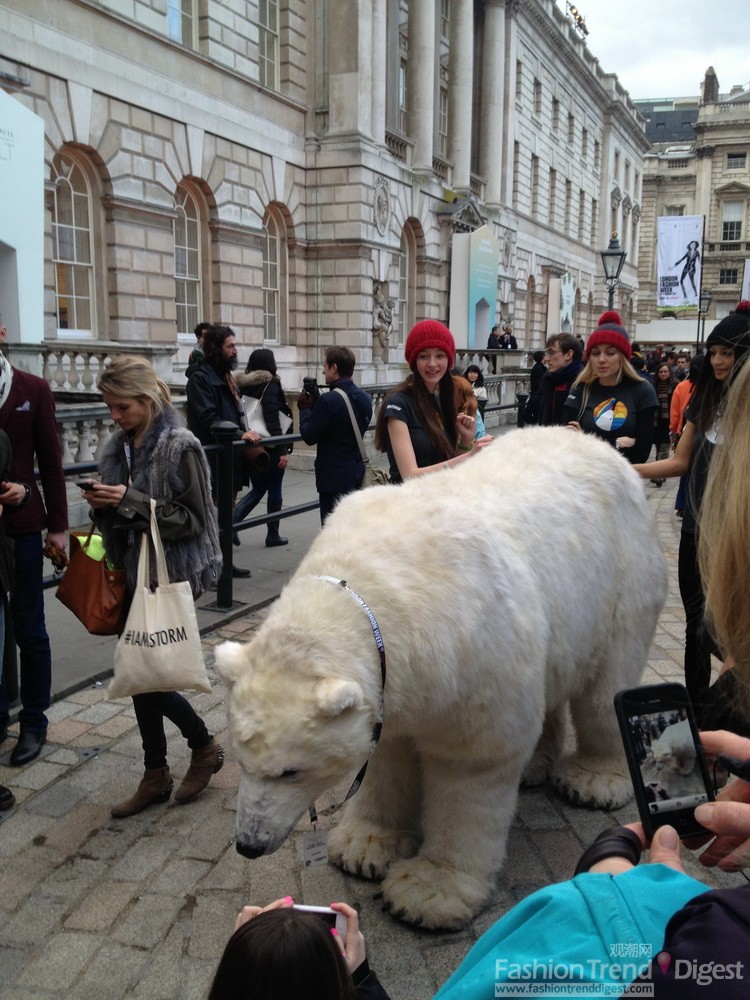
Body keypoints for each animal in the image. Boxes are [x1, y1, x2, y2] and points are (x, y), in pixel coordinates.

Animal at [616, 684, 716, 840]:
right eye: (656, 760)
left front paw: (684, 769)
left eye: (660, 760)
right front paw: (675, 765)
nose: (657, 768)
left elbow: (687, 756)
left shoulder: (685, 744)